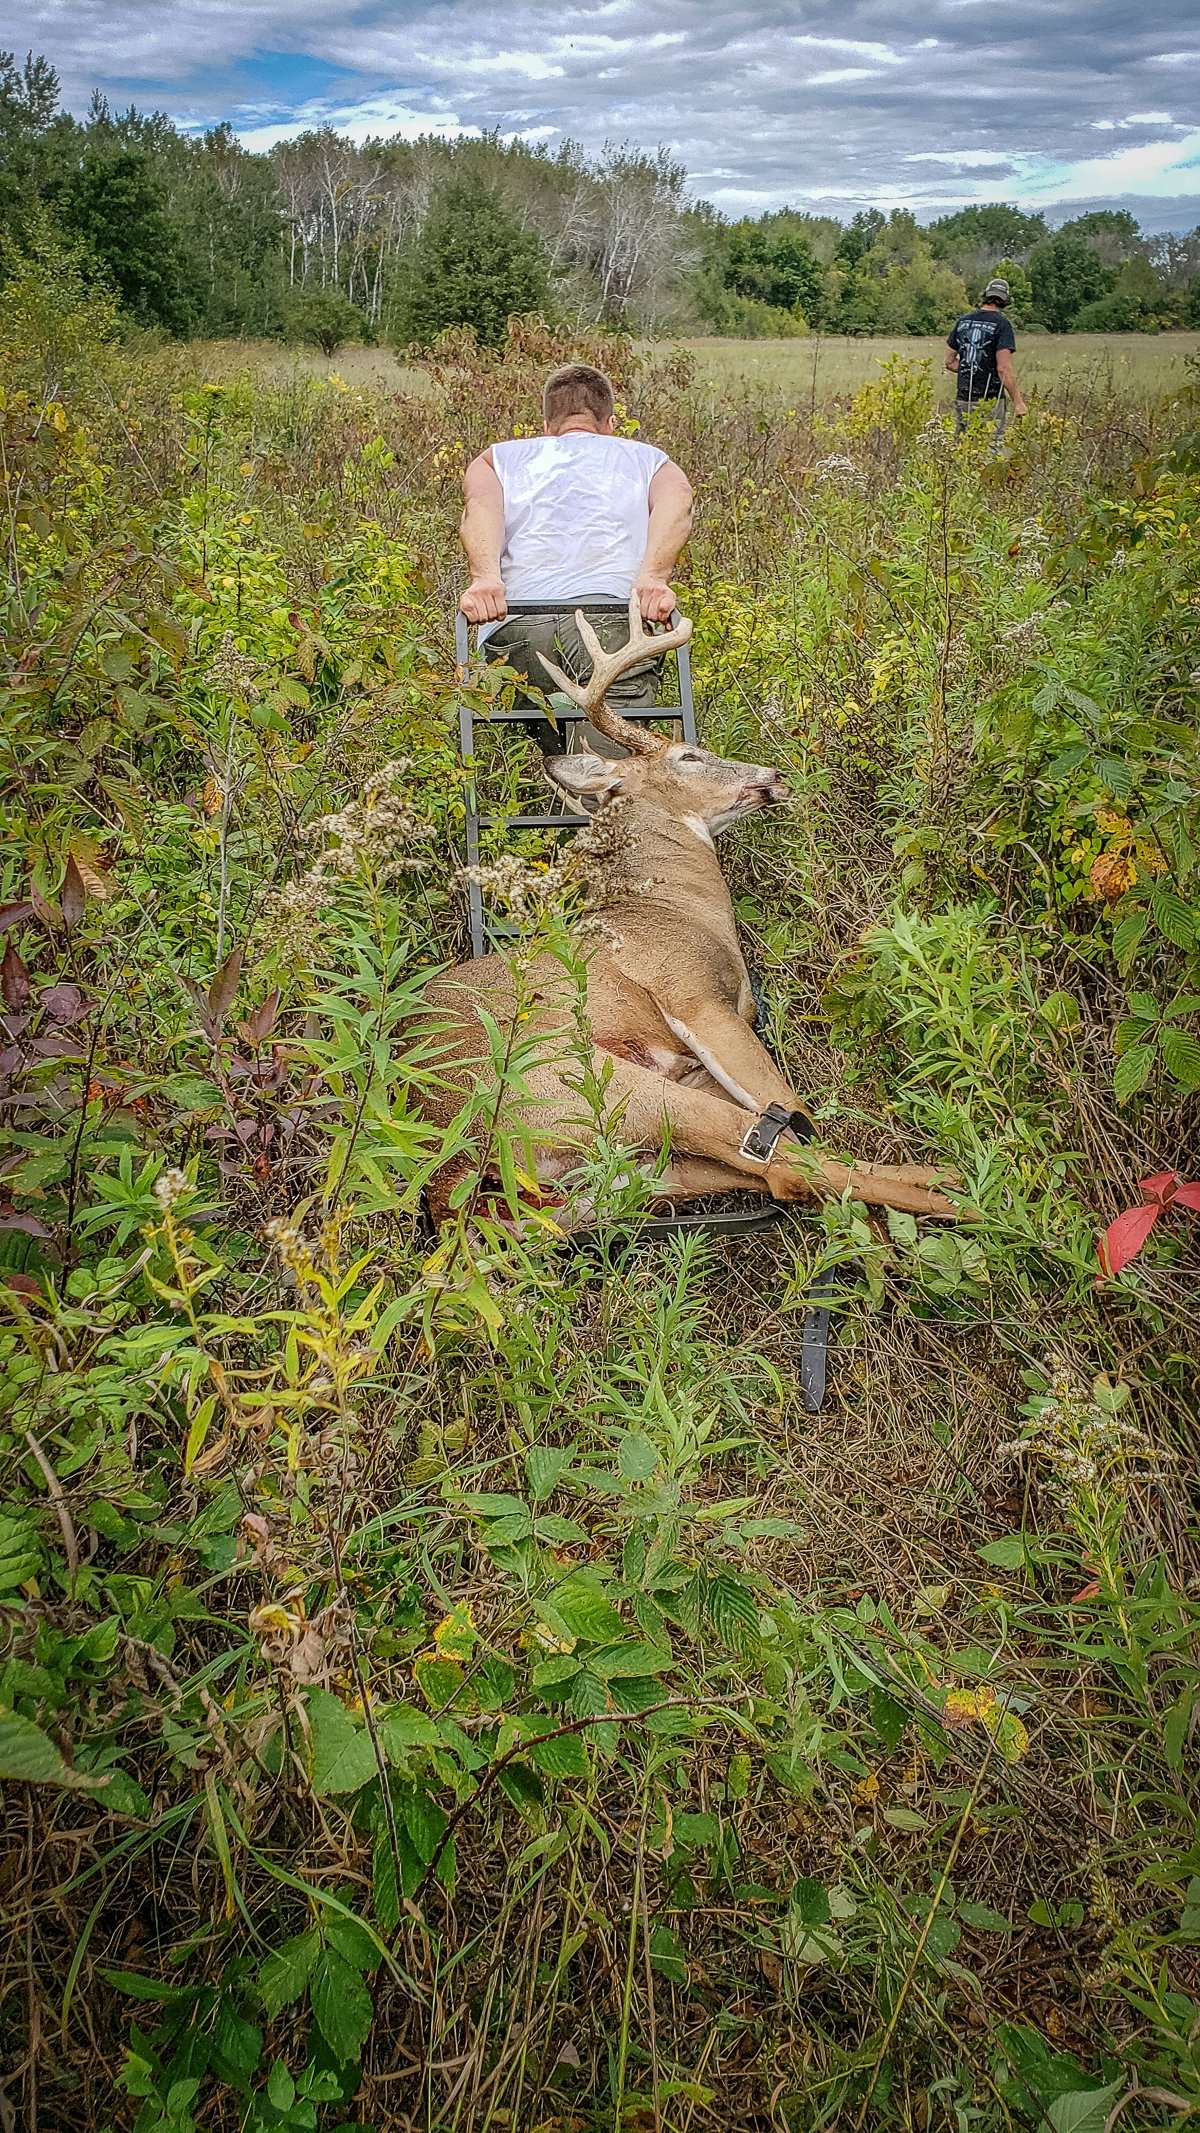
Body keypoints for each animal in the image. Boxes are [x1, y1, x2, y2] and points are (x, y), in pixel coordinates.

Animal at [422, 601, 959, 1237]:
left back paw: (939, 1180)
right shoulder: (696, 997)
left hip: (628, 1168)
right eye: (689, 756)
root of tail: (449, 1180)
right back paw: (962, 1200)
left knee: (756, 1167)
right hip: (585, 1083)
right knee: (780, 1157)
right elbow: (792, 1108)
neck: (683, 908)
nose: (771, 775)